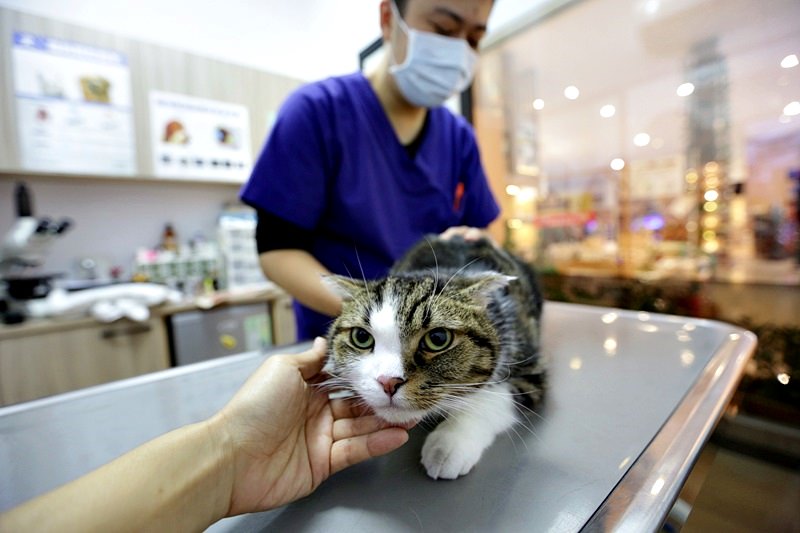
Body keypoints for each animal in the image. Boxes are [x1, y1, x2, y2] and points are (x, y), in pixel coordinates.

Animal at [324, 236, 544, 478]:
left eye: (438, 339)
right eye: (361, 337)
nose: (388, 382)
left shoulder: (530, 370)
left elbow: (491, 399)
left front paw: (449, 444)